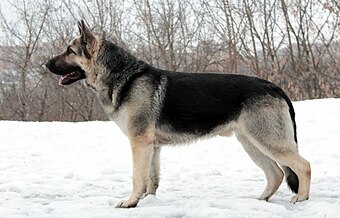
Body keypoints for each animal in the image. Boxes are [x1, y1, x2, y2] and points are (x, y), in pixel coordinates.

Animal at [45, 20, 310, 208]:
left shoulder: (139, 143)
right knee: (276, 173)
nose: (44, 64)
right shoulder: (152, 147)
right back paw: (261, 200)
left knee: (303, 165)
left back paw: (301, 198)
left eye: (69, 51)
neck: (124, 76)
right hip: (252, 143)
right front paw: (147, 200)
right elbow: (151, 179)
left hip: (267, 142)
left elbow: (137, 177)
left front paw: (130, 202)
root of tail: (275, 87)